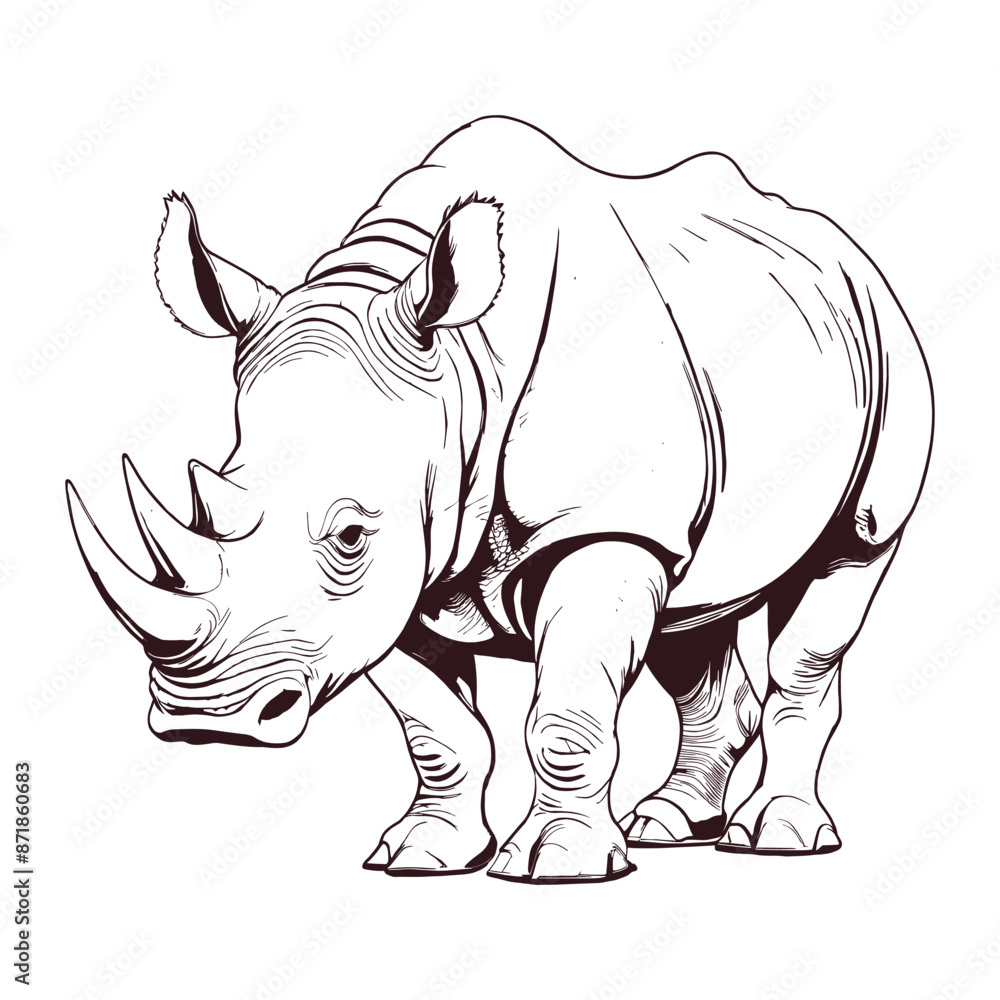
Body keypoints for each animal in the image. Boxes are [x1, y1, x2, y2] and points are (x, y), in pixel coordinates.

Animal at [67, 116, 933, 883]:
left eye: (349, 536)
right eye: (206, 504)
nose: (200, 720)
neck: (460, 370)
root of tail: (846, 249)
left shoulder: (597, 528)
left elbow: (565, 711)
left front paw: (557, 865)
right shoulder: (410, 568)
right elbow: (436, 727)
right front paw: (422, 854)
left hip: (887, 344)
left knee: (844, 563)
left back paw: (776, 839)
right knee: (696, 612)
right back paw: (668, 823)